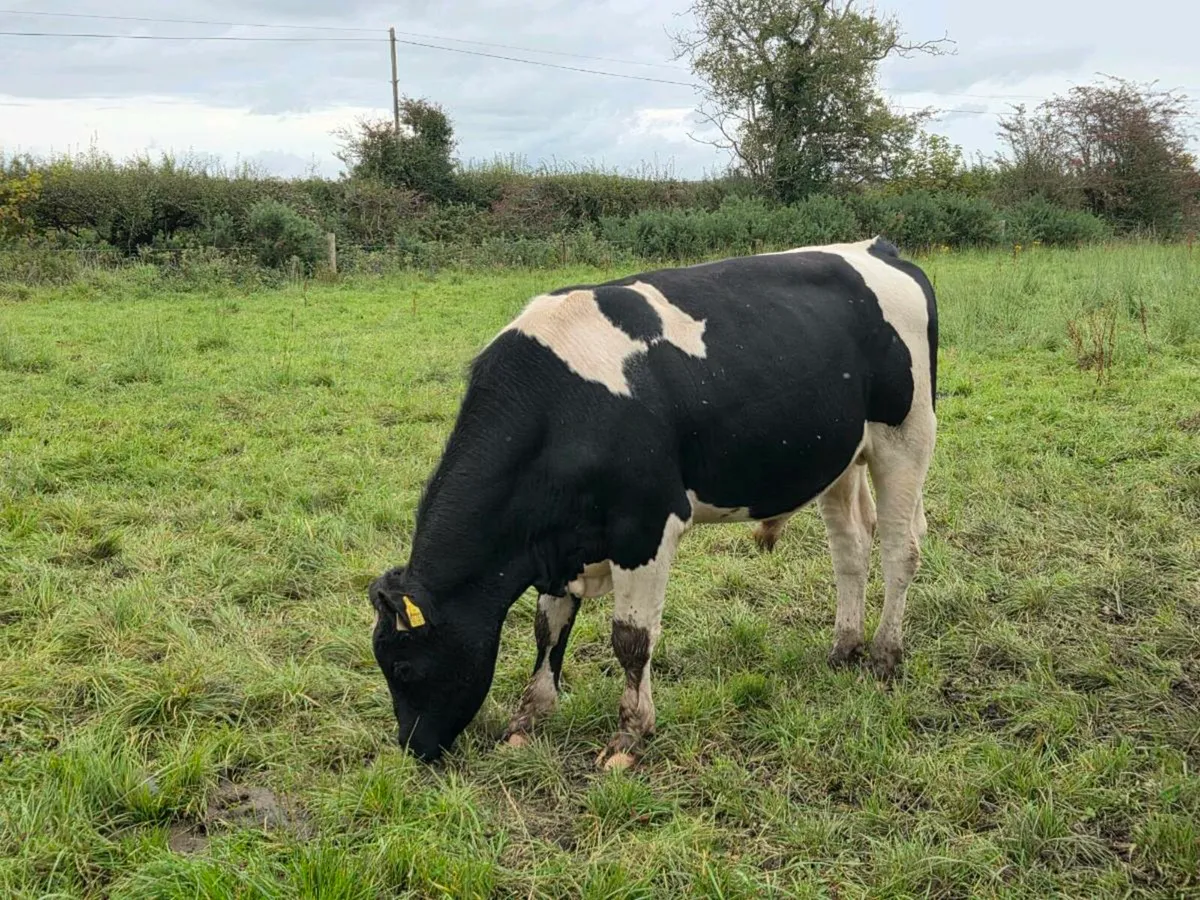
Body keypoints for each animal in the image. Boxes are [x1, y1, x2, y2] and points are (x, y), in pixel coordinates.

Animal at [369, 236, 937, 769]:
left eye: (403, 667)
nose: (412, 747)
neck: (557, 413)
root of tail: (875, 247)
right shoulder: (559, 543)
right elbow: (547, 629)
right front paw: (527, 720)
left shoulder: (645, 526)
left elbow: (631, 638)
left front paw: (629, 735)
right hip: (838, 456)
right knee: (850, 549)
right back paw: (844, 647)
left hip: (906, 437)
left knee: (900, 550)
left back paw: (884, 656)